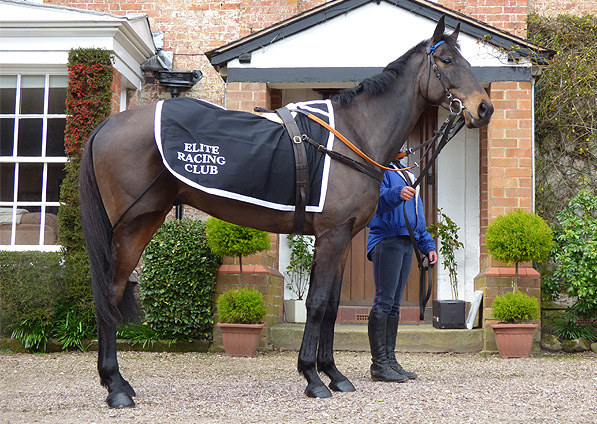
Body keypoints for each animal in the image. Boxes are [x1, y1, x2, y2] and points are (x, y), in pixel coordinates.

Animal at [79, 18, 494, 410]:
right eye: (446, 60)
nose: (484, 108)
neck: (354, 134)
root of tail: (108, 125)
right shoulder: (331, 234)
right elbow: (316, 303)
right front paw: (312, 377)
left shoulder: (343, 237)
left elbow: (331, 306)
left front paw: (334, 375)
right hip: (133, 224)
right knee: (110, 293)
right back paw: (116, 387)